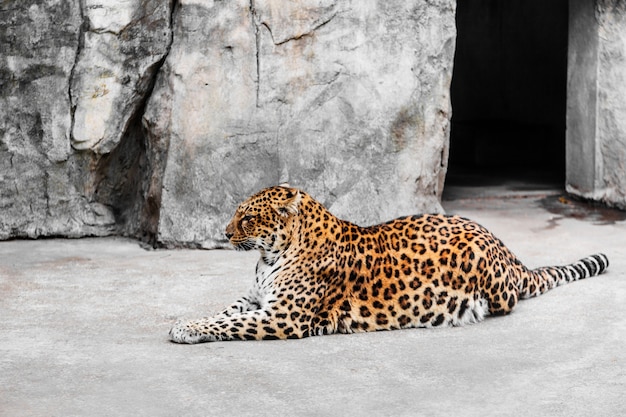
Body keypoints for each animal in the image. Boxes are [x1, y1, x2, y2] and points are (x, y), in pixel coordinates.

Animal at [168, 185, 608, 342]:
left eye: (247, 218)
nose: (224, 233)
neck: (271, 255)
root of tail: (508, 252)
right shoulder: (256, 300)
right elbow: (224, 313)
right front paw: (187, 322)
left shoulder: (283, 317)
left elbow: (229, 324)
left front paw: (186, 329)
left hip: (486, 275)